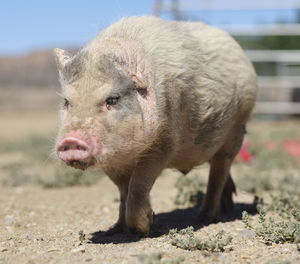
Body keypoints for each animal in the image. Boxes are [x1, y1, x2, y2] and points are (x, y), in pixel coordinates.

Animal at [54, 15, 258, 236]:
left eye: (112, 99)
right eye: (66, 102)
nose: (71, 140)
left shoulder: (164, 143)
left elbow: (139, 184)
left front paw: (143, 227)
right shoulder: (113, 161)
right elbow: (123, 190)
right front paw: (117, 228)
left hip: (237, 127)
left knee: (219, 171)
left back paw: (206, 217)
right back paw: (225, 207)